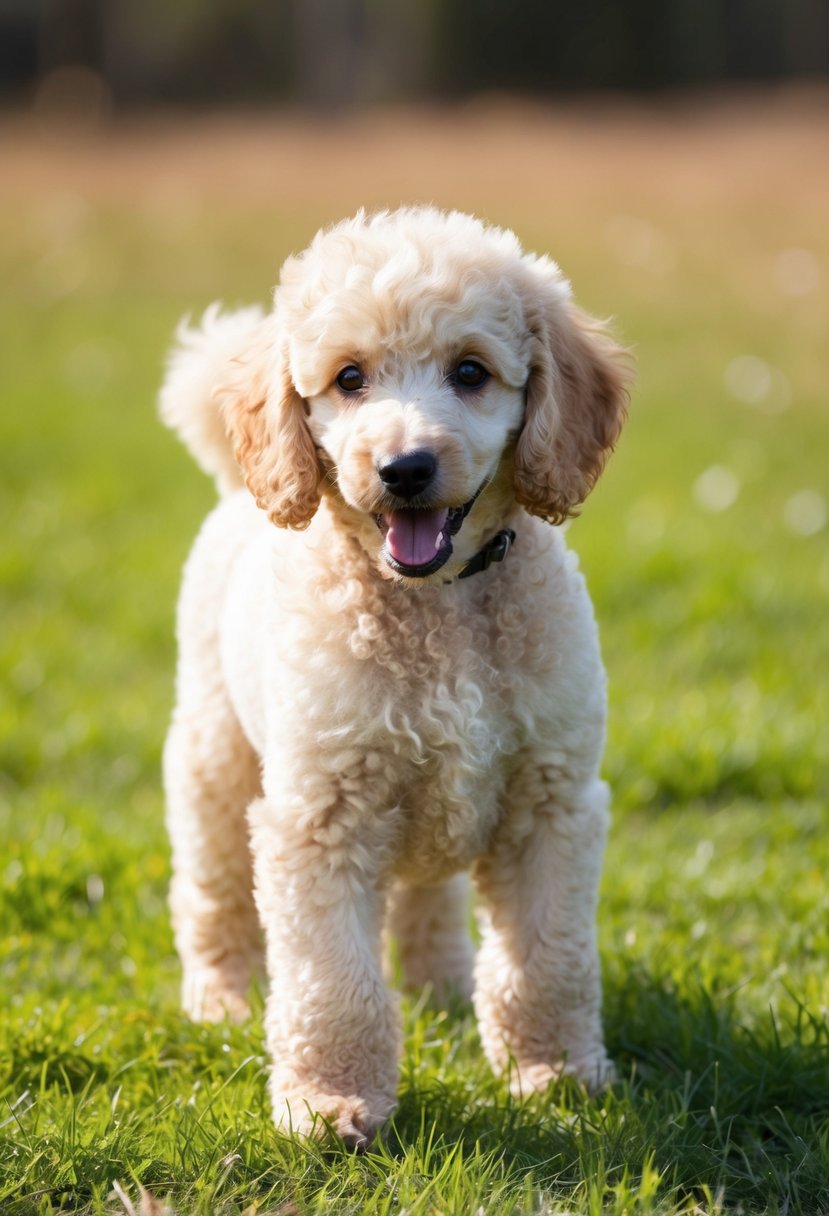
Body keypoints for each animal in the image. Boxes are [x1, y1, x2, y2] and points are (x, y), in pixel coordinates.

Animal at [159, 204, 627, 1143]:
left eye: (470, 371)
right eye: (349, 379)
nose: (404, 469)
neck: (436, 605)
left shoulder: (550, 801)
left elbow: (547, 960)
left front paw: (554, 1074)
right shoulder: (319, 817)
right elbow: (332, 982)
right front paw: (328, 1102)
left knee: (427, 897)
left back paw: (442, 984)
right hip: (213, 760)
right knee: (214, 895)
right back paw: (222, 998)